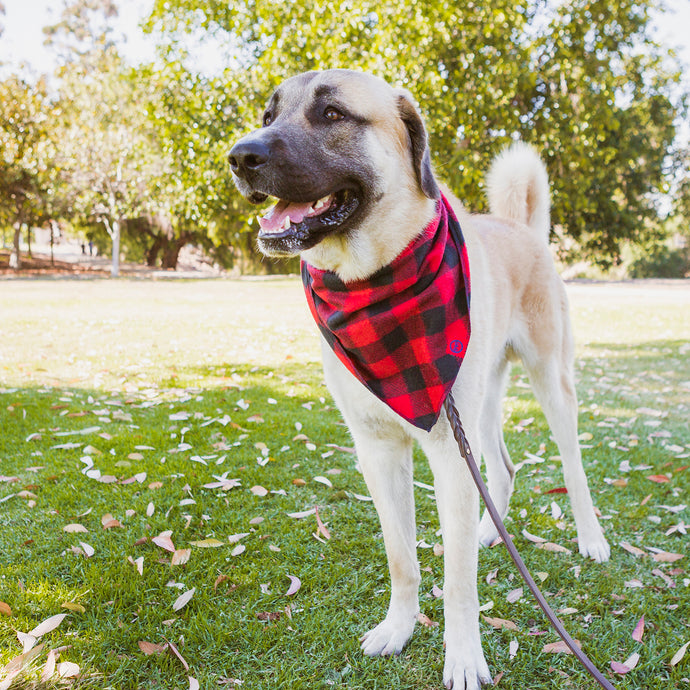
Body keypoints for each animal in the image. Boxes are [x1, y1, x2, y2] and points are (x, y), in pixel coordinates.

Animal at [227, 70, 608, 688]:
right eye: (268, 114)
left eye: (332, 114)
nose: (240, 156)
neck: (373, 280)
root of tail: (519, 227)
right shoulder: (379, 451)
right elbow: (402, 558)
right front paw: (399, 628)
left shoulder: (447, 453)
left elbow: (458, 581)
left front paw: (465, 657)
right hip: (478, 406)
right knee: (501, 466)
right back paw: (489, 530)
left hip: (549, 384)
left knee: (572, 467)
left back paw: (590, 537)